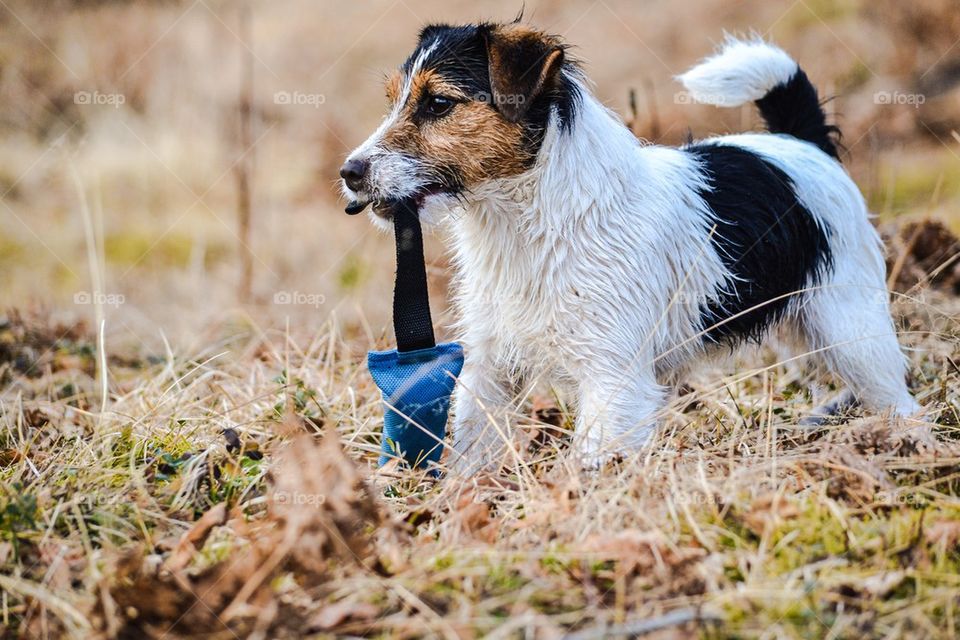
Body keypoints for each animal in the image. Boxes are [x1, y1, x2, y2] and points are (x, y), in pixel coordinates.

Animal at [342, 21, 920, 470]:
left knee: (897, 395)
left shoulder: (612, 378)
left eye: (439, 103)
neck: (527, 219)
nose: (349, 172)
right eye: (393, 101)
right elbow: (471, 443)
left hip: (850, 324)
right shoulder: (489, 365)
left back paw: (903, 442)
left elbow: (596, 459)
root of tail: (800, 142)